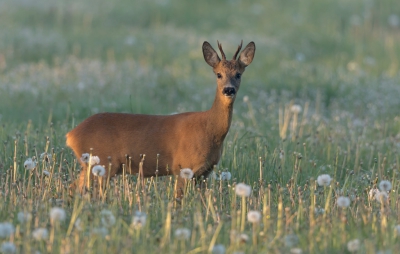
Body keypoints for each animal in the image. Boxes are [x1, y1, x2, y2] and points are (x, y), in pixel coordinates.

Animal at [65, 40, 253, 196]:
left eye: (238, 74)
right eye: (218, 74)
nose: (228, 90)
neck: (210, 129)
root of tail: (71, 135)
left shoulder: (204, 173)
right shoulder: (182, 167)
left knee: (74, 188)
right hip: (101, 164)